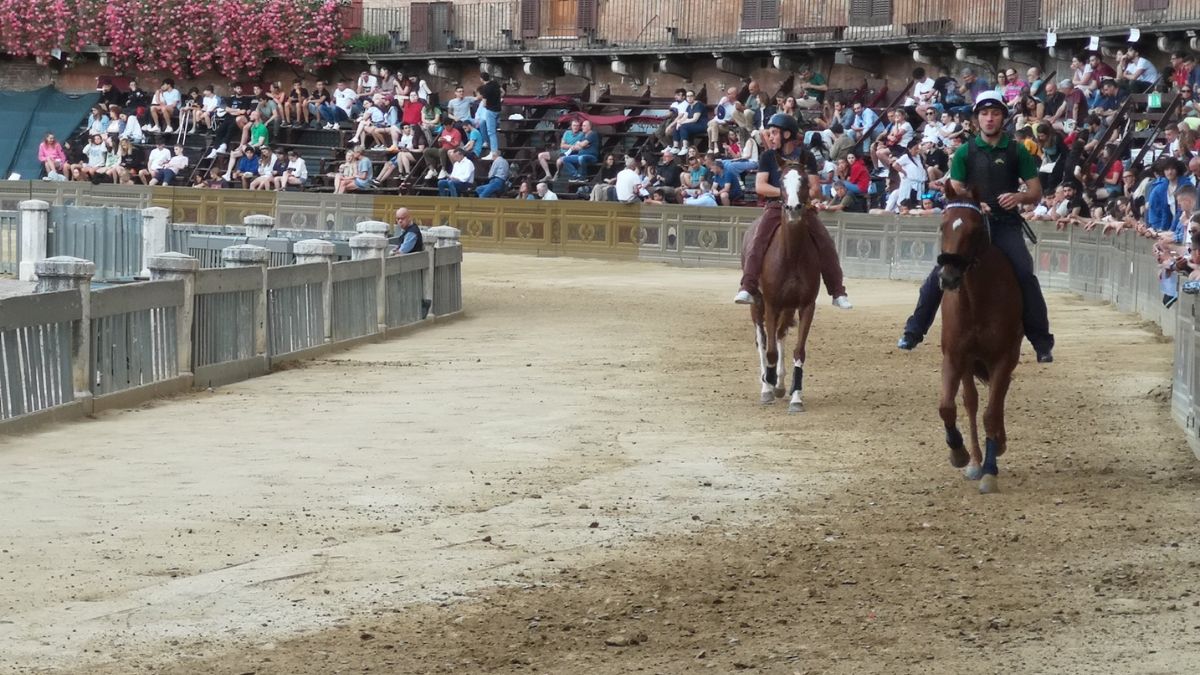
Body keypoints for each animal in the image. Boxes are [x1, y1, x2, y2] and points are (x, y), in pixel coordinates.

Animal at [744, 165, 820, 413]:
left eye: (804, 180)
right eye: (781, 181)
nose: (793, 208)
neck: (791, 256)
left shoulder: (806, 305)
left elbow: (798, 350)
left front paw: (796, 396)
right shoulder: (771, 303)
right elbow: (769, 350)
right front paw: (767, 388)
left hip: (787, 308)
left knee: (779, 335)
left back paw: (779, 383)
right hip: (757, 304)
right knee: (762, 340)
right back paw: (767, 384)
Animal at [936, 181, 1022, 492]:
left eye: (974, 230)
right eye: (943, 225)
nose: (948, 277)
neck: (976, 299)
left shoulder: (1003, 357)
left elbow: (991, 413)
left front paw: (990, 472)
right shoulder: (955, 356)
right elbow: (947, 407)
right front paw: (959, 453)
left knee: (998, 399)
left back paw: (996, 447)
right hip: (968, 363)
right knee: (970, 401)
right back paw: (974, 461)